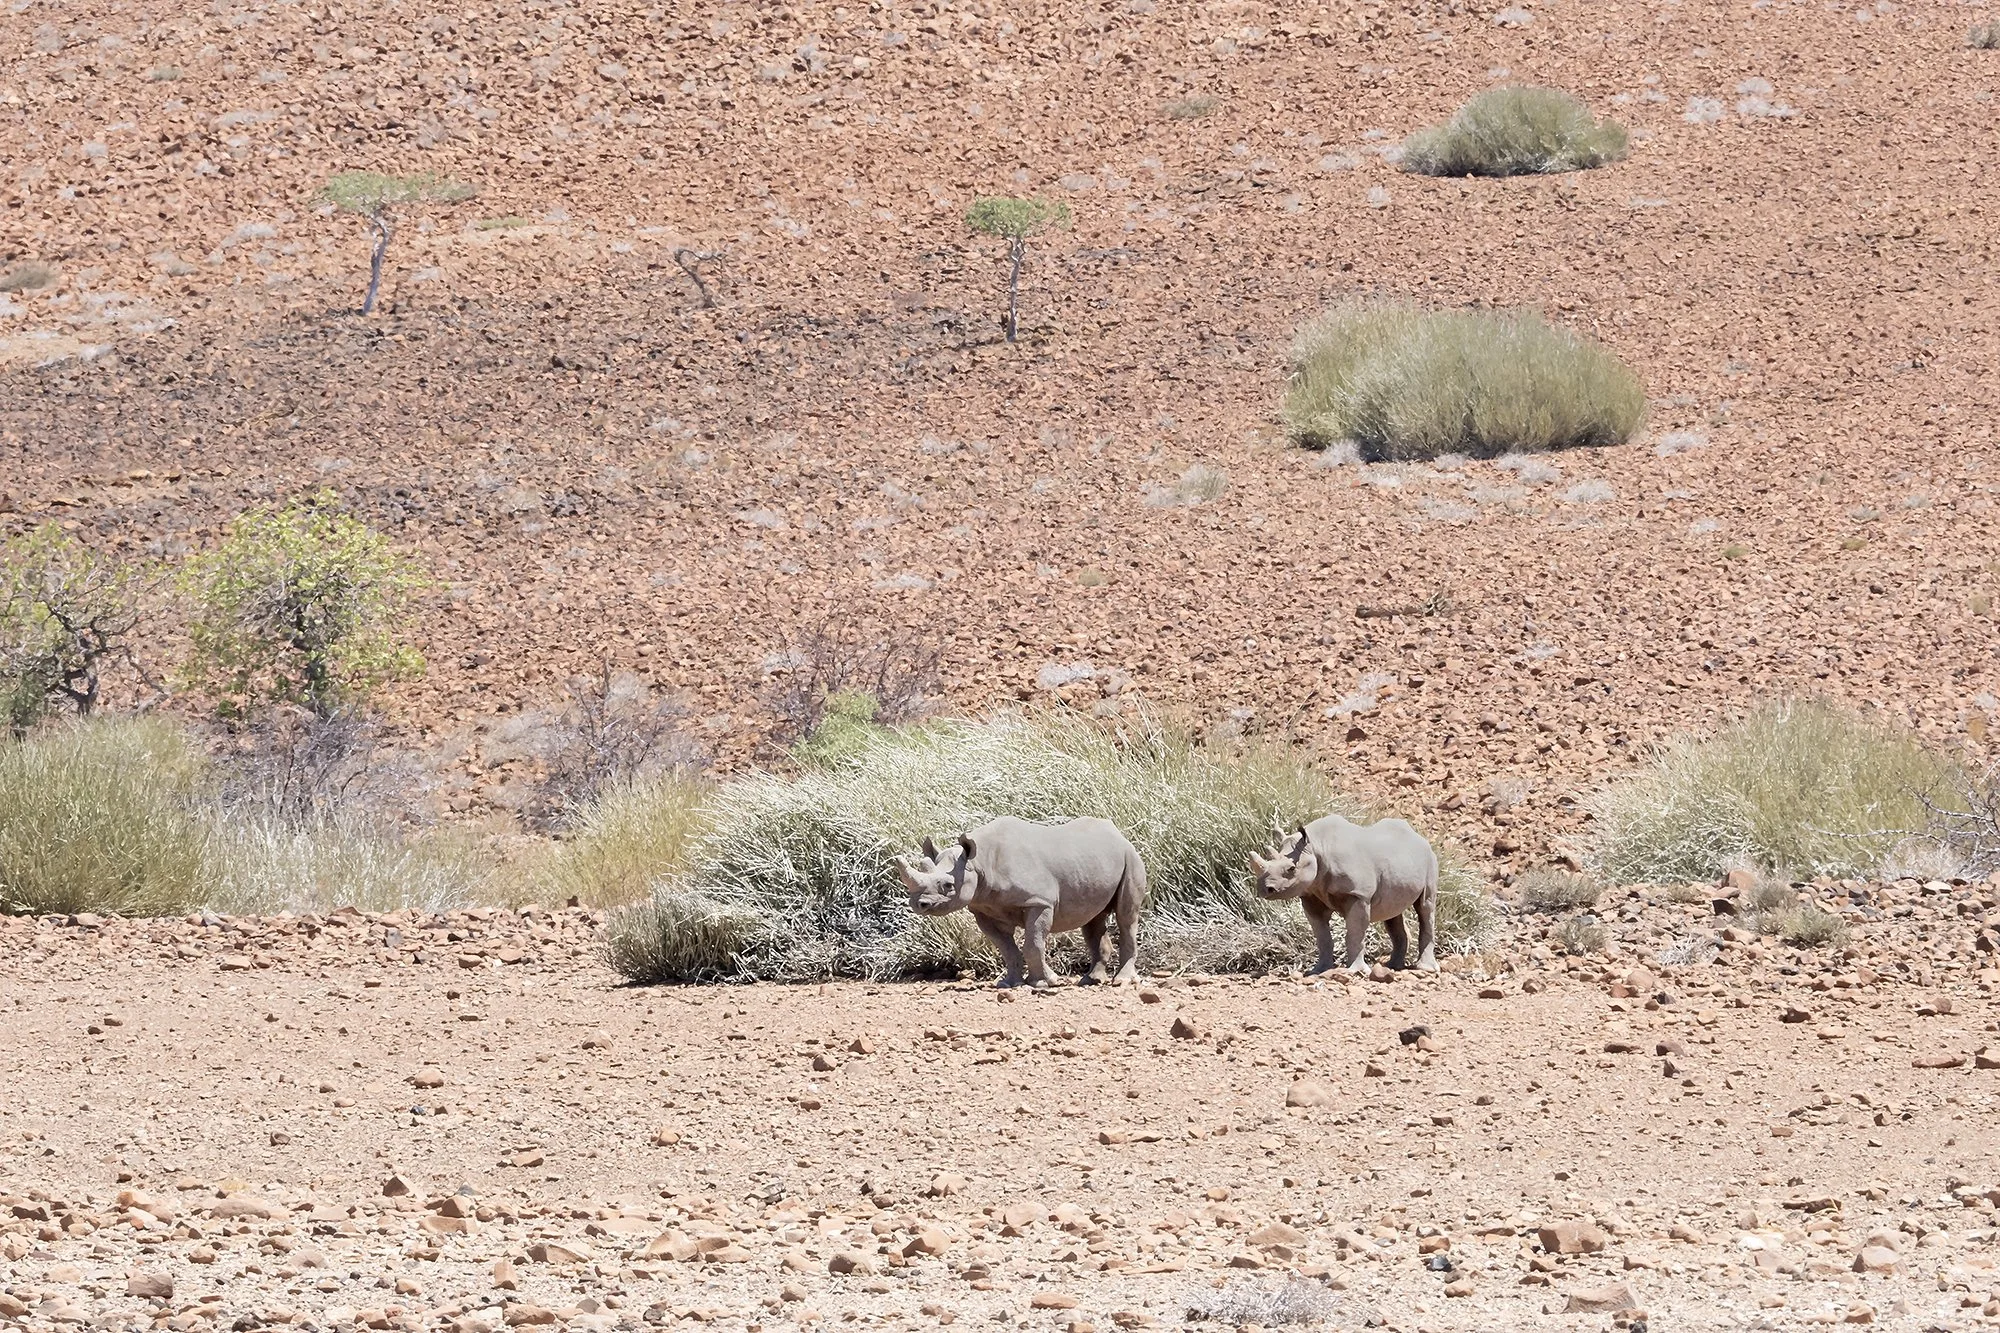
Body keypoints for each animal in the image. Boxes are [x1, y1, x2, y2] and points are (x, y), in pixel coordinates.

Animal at [894, 816, 1147, 990]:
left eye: (948, 885)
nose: (920, 904)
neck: (978, 862)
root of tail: (1119, 835)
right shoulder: (984, 909)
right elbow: (1007, 949)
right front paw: (1009, 984)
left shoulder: (1039, 902)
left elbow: (1033, 944)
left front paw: (1044, 983)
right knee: (1093, 919)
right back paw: (1090, 980)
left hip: (1131, 858)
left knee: (1126, 917)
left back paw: (1122, 981)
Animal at [1248, 813, 1438, 975]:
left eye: (1291, 868)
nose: (1265, 889)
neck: (1316, 846)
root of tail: (1420, 837)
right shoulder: (1311, 895)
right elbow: (1322, 936)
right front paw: (1318, 970)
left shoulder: (1358, 895)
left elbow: (1354, 933)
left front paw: (1356, 971)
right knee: (1392, 912)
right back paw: (1393, 966)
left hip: (1430, 859)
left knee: (1425, 907)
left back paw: (1425, 968)